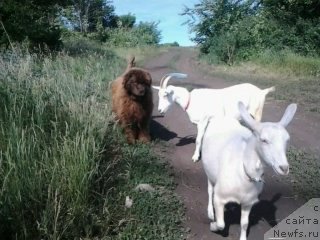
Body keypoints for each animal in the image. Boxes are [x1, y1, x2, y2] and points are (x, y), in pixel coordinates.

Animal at [201, 101, 296, 240]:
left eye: (287, 140)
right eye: (264, 140)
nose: (283, 168)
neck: (243, 172)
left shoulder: (248, 203)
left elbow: (245, 224)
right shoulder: (219, 197)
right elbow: (221, 224)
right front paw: (213, 226)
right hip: (209, 172)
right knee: (209, 189)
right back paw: (210, 212)